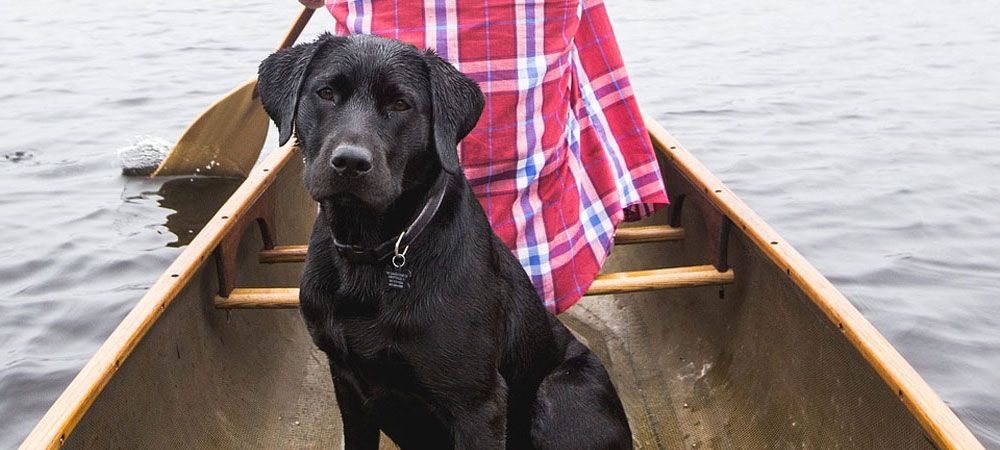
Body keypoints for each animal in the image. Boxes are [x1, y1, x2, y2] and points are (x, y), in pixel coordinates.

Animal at [260, 33, 632, 448]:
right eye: (326, 93)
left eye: (401, 104)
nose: (351, 163)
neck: (375, 251)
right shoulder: (348, 384)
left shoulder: (477, 404)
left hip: (563, 392)